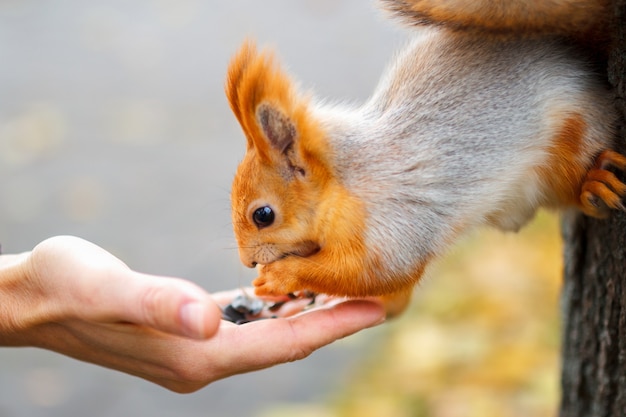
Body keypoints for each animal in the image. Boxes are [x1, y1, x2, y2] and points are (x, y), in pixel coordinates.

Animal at [224, 0, 624, 314]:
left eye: (263, 215)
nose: (247, 261)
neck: (344, 184)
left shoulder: (396, 218)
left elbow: (377, 272)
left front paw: (282, 276)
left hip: (575, 137)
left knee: (575, 184)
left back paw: (594, 184)